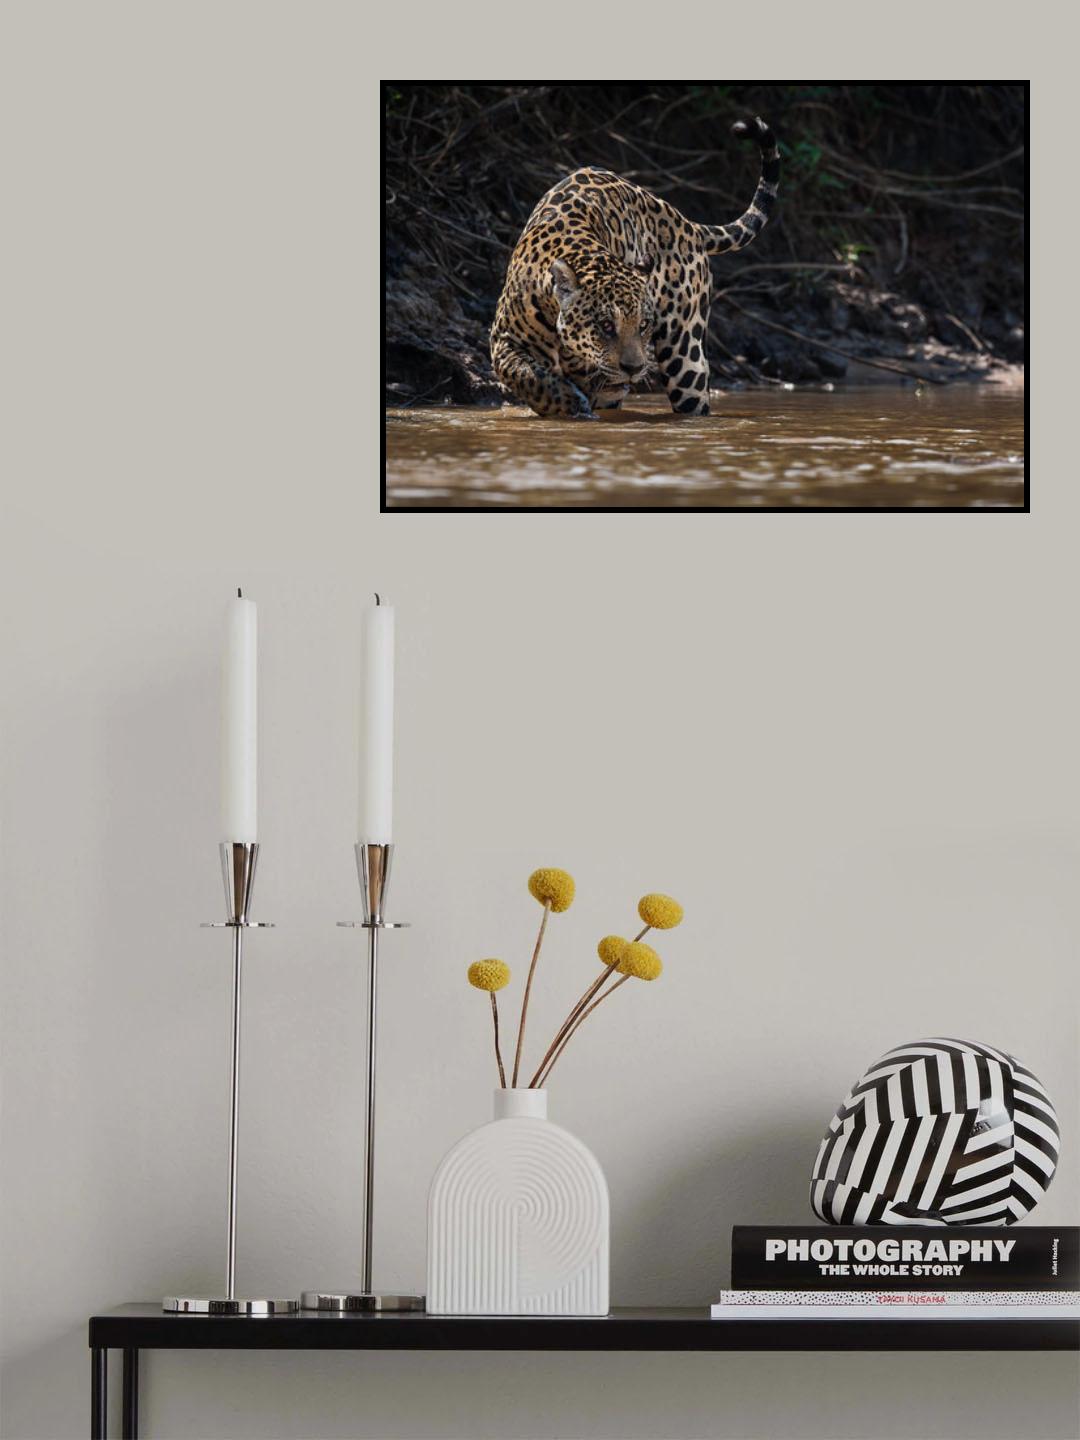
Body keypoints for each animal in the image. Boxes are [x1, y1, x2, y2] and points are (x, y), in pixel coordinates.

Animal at [490, 116, 779, 420]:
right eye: (606, 325)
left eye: (643, 325)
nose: (634, 368)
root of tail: (687, 222)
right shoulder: (504, 340)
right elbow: (526, 376)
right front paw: (569, 404)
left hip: (686, 355)